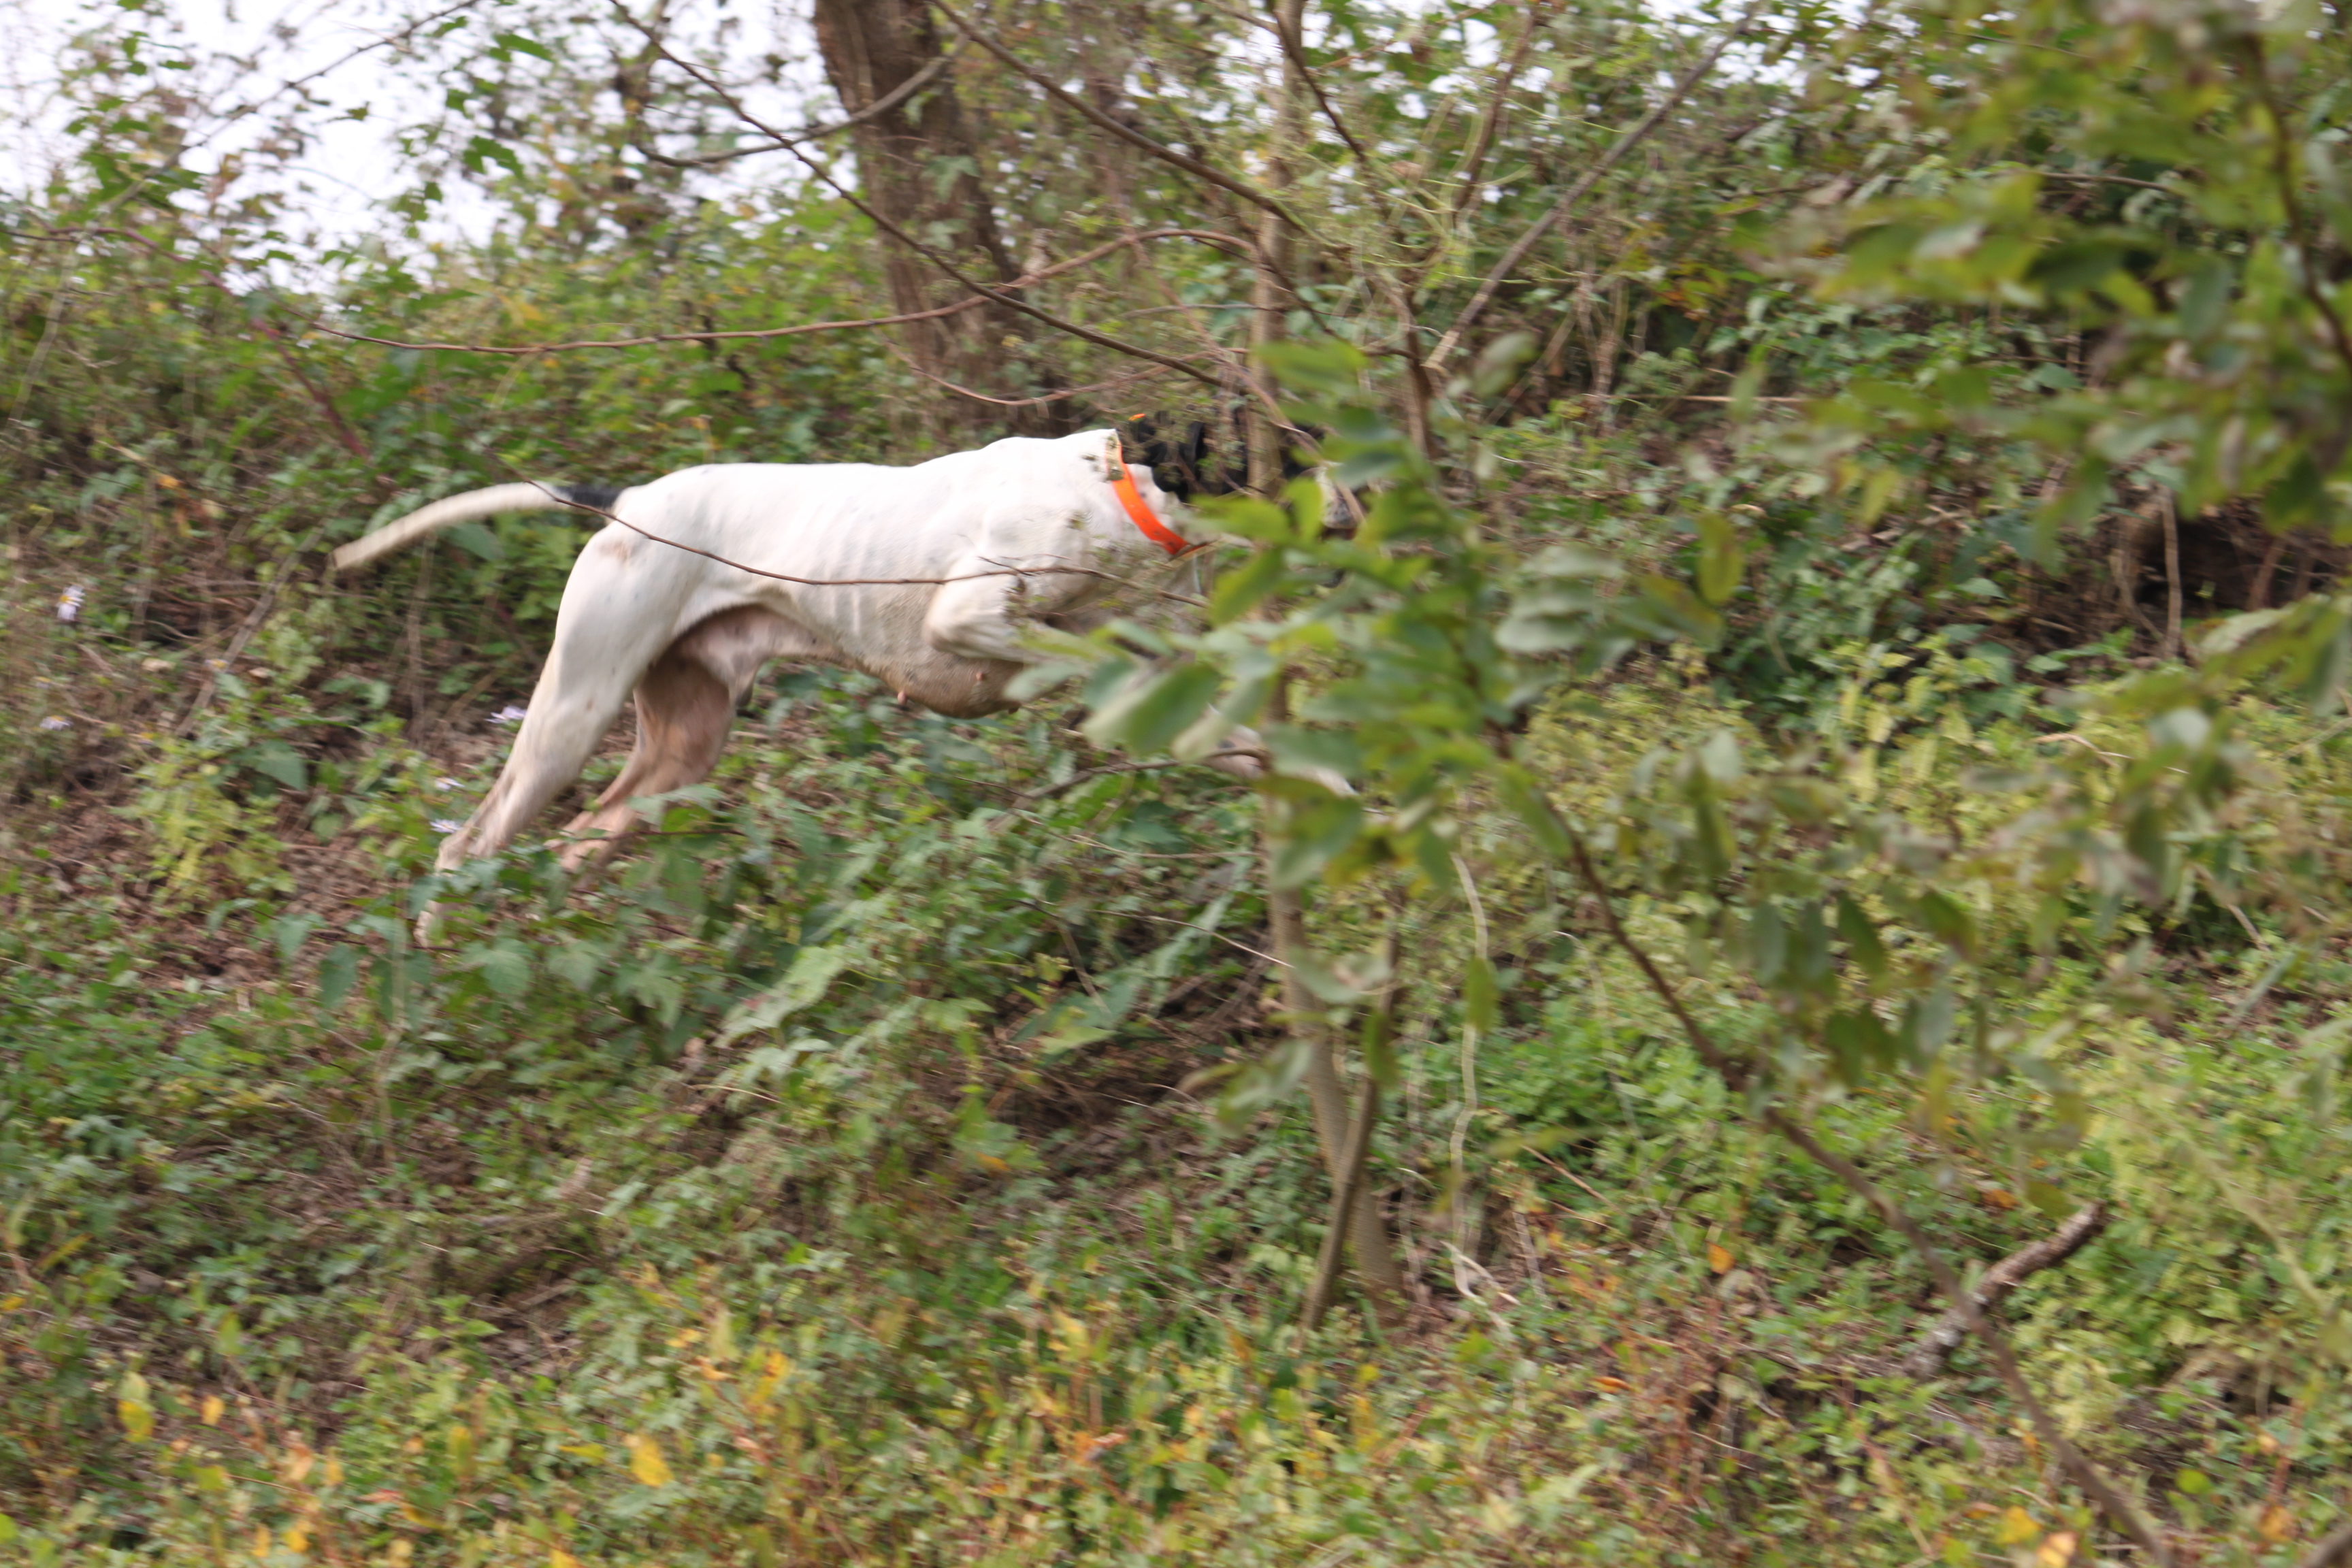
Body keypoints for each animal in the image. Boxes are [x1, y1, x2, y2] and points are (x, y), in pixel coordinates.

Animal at [333, 426, 1278, 914]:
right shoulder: (967, 617)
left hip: (680, 753)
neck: (1124, 490)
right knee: (465, 844)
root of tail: (631, 501)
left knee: (575, 845)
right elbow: (1073, 645)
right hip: (571, 717)